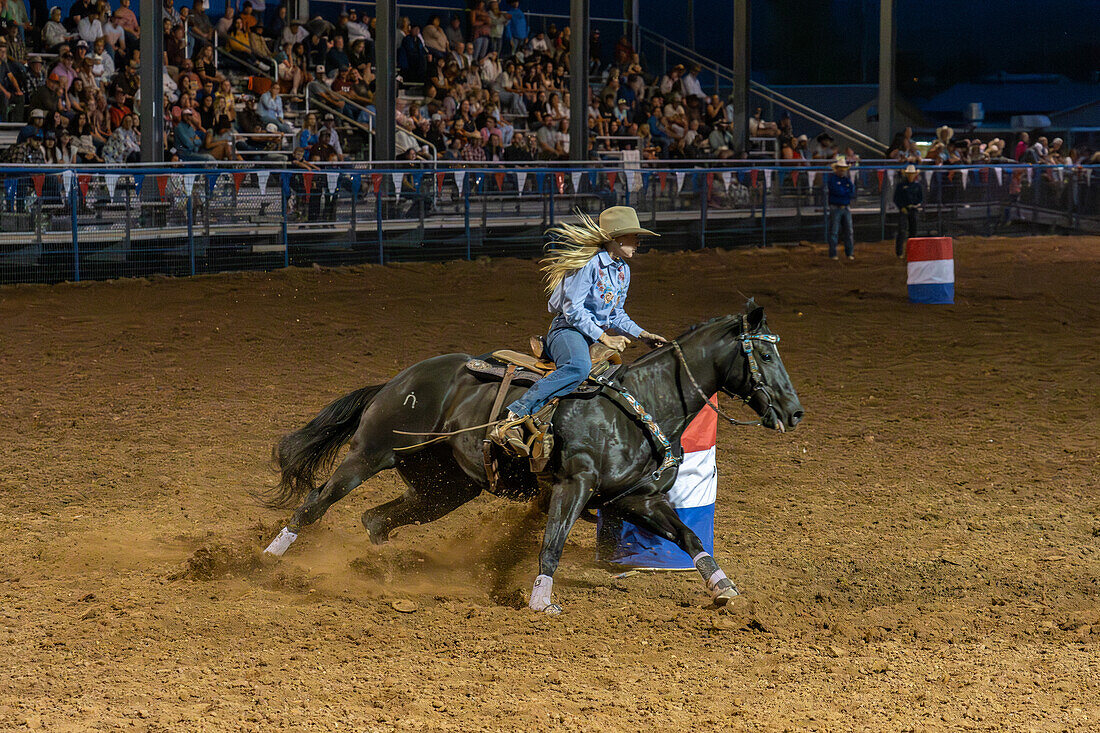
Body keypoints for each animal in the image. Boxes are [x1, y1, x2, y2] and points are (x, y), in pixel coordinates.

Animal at [261, 301, 805, 611]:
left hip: (444, 488)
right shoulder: (572, 485)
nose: (795, 412)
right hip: (372, 453)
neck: (641, 403)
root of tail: (399, 380)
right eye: (766, 354)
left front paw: (723, 588)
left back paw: (382, 574)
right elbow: (552, 543)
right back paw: (267, 560)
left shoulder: (637, 500)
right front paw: (541, 601)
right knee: (315, 502)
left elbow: (690, 536)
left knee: (377, 519)